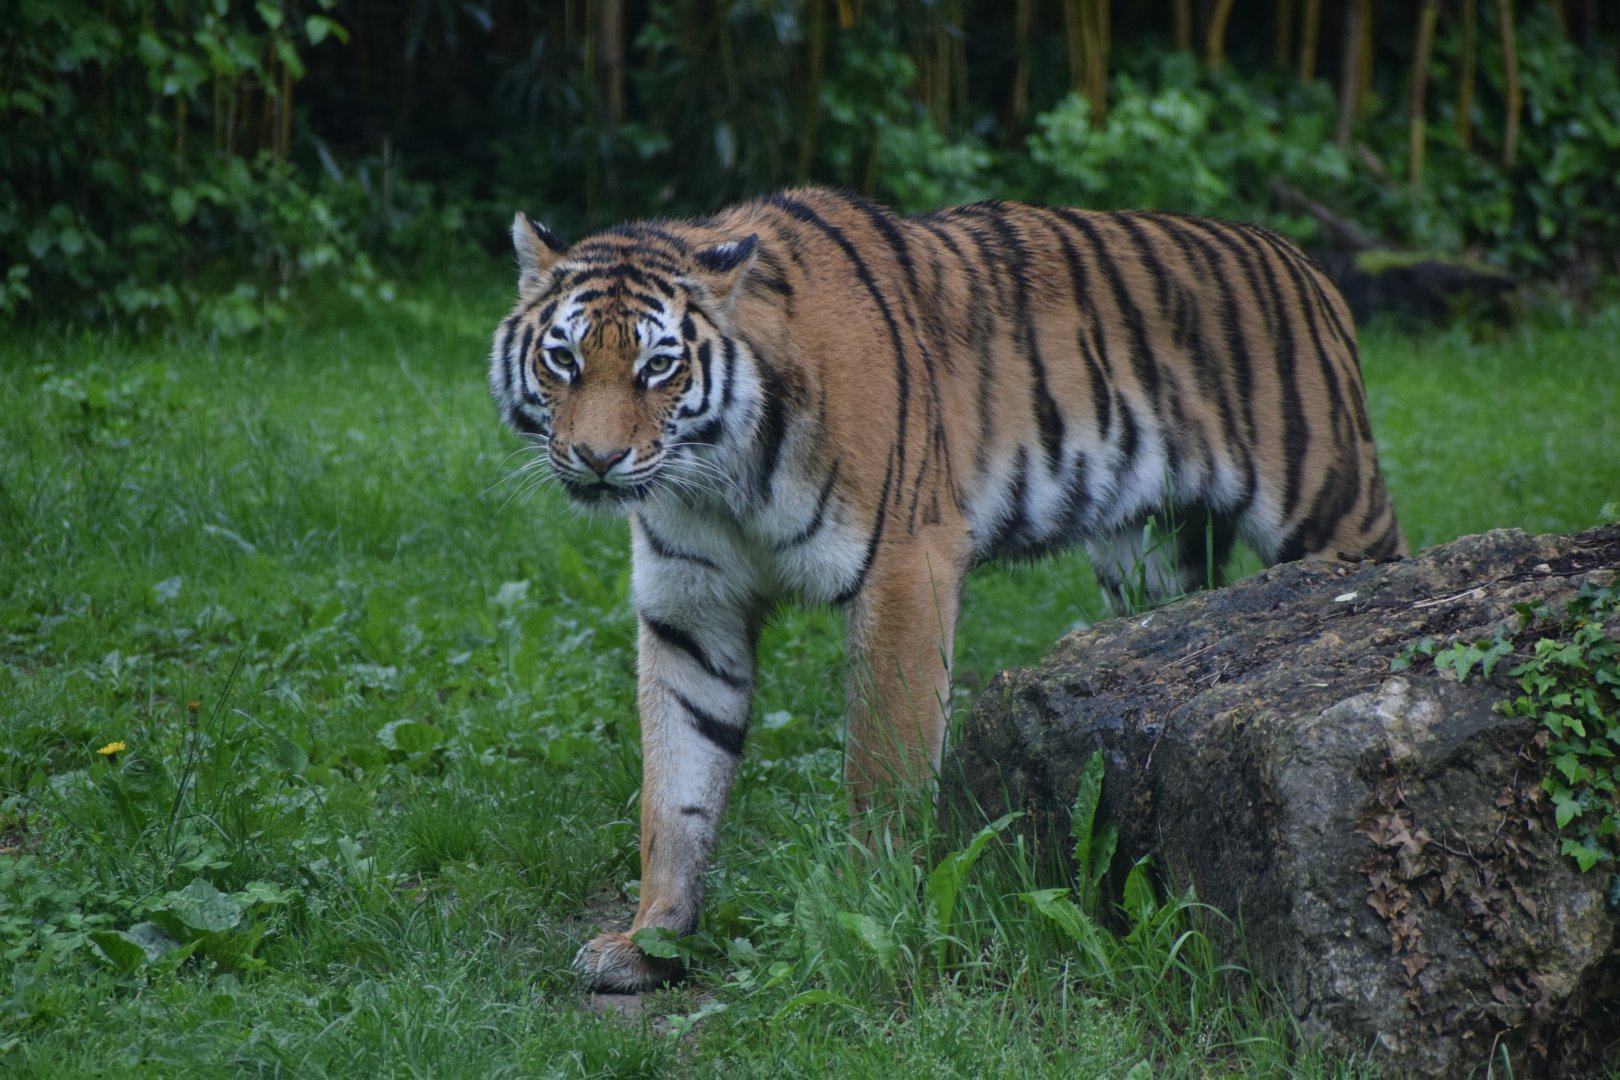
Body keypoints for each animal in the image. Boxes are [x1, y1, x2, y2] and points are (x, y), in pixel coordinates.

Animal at [487, 187, 1405, 993]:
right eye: (564, 359)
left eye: (658, 367)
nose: (598, 460)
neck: (717, 471)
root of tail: (1302, 260)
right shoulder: (690, 613)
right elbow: (673, 792)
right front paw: (651, 943)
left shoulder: (904, 565)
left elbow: (882, 769)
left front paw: (870, 911)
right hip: (1149, 559)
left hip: (1334, 510)